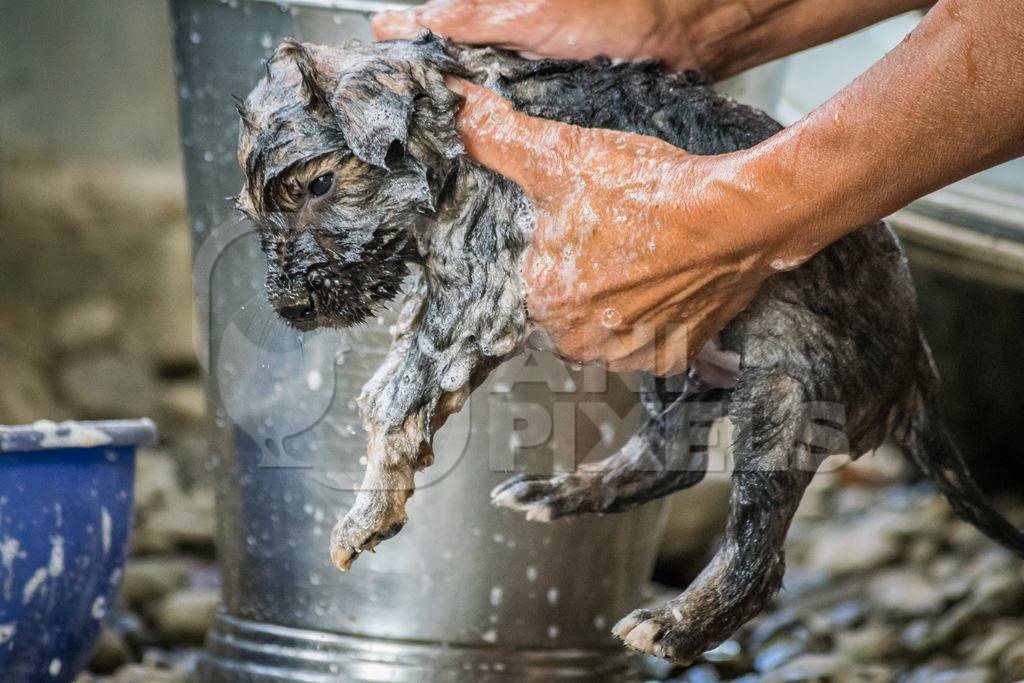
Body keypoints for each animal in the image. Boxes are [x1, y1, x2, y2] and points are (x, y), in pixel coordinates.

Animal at [234, 33, 1024, 667]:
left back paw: (677, 625)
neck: (455, 125)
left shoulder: (480, 292)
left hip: (786, 384)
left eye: (318, 184)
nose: (289, 309)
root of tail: (918, 366)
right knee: (676, 456)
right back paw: (564, 492)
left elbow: (391, 397)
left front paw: (365, 514)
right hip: (674, 347)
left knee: (759, 549)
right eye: (255, 210)